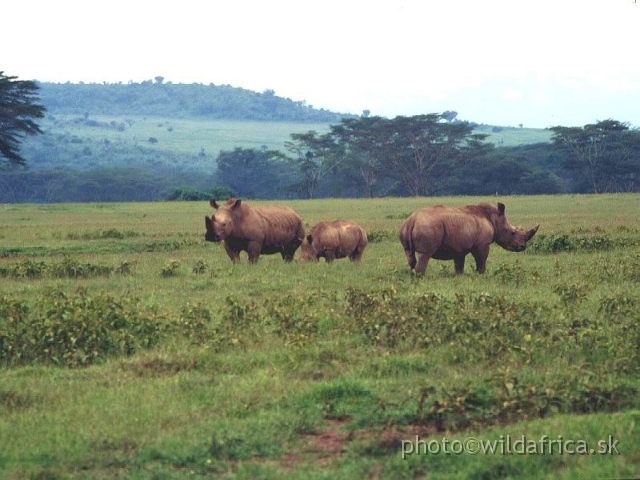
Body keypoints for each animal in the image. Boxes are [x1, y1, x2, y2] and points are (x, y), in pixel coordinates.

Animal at [400, 202, 540, 276]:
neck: (494, 218)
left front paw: (459, 277)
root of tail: (413, 219)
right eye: (513, 232)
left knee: (410, 255)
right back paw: (421, 277)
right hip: (428, 226)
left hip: (405, 228)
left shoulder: (459, 246)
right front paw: (481, 274)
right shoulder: (482, 243)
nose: (522, 247)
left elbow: (459, 264)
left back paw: (413, 275)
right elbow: (481, 259)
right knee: (425, 254)